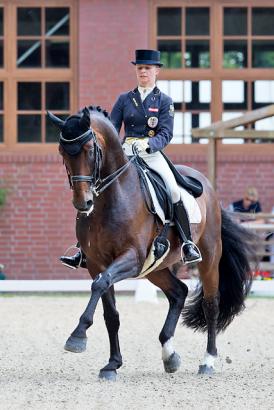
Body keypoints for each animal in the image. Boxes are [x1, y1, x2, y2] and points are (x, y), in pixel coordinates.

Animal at [48, 106, 256, 382]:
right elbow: (110, 312)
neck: (111, 198)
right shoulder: (96, 263)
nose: (83, 203)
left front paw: (77, 336)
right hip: (156, 268)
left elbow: (100, 285)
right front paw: (112, 364)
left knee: (211, 304)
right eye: (62, 152)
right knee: (179, 292)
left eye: (90, 149)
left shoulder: (131, 258)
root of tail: (206, 184)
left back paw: (208, 361)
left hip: (209, 257)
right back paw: (170, 355)